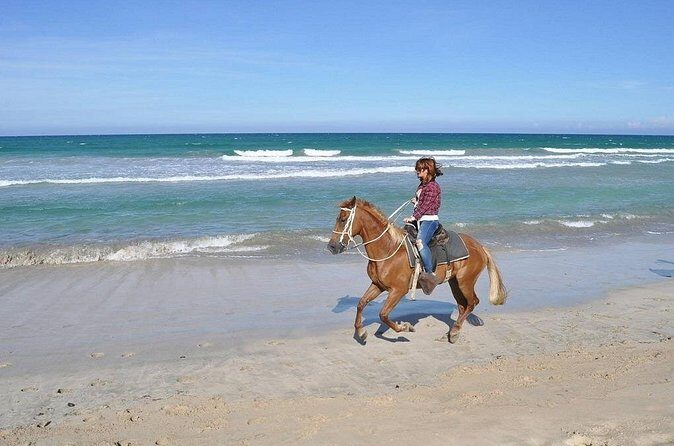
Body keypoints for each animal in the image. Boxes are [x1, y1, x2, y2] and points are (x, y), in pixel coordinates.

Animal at [327, 196, 507, 344]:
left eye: (343, 219)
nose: (332, 246)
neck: (388, 249)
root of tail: (480, 246)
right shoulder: (377, 285)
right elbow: (361, 303)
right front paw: (361, 332)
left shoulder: (398, 290)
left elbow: (383, 314)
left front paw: (404, 327)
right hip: (454, 282)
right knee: (462, 306)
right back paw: (451, 332)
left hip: (465, 282)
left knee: (472, 302)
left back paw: (455, 332)